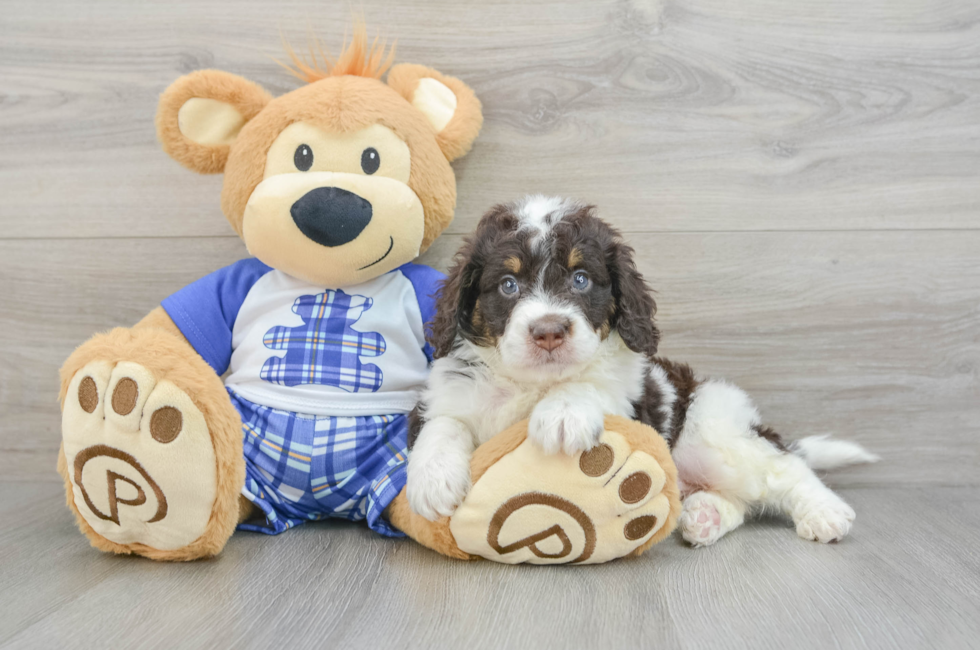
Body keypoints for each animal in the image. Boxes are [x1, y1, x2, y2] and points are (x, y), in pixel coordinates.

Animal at [406, 195, 880, 544]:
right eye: (508, 285)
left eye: (581, 279)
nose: (549, 332)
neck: (534, 384)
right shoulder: (445, 394)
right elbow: (442, 424)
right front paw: (432, 480)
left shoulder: (634, 405)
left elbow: (594, 382)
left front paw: (562, 412)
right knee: (741, 499)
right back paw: (705, 516)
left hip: (715, 435)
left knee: (783, 469)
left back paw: (825, 512)